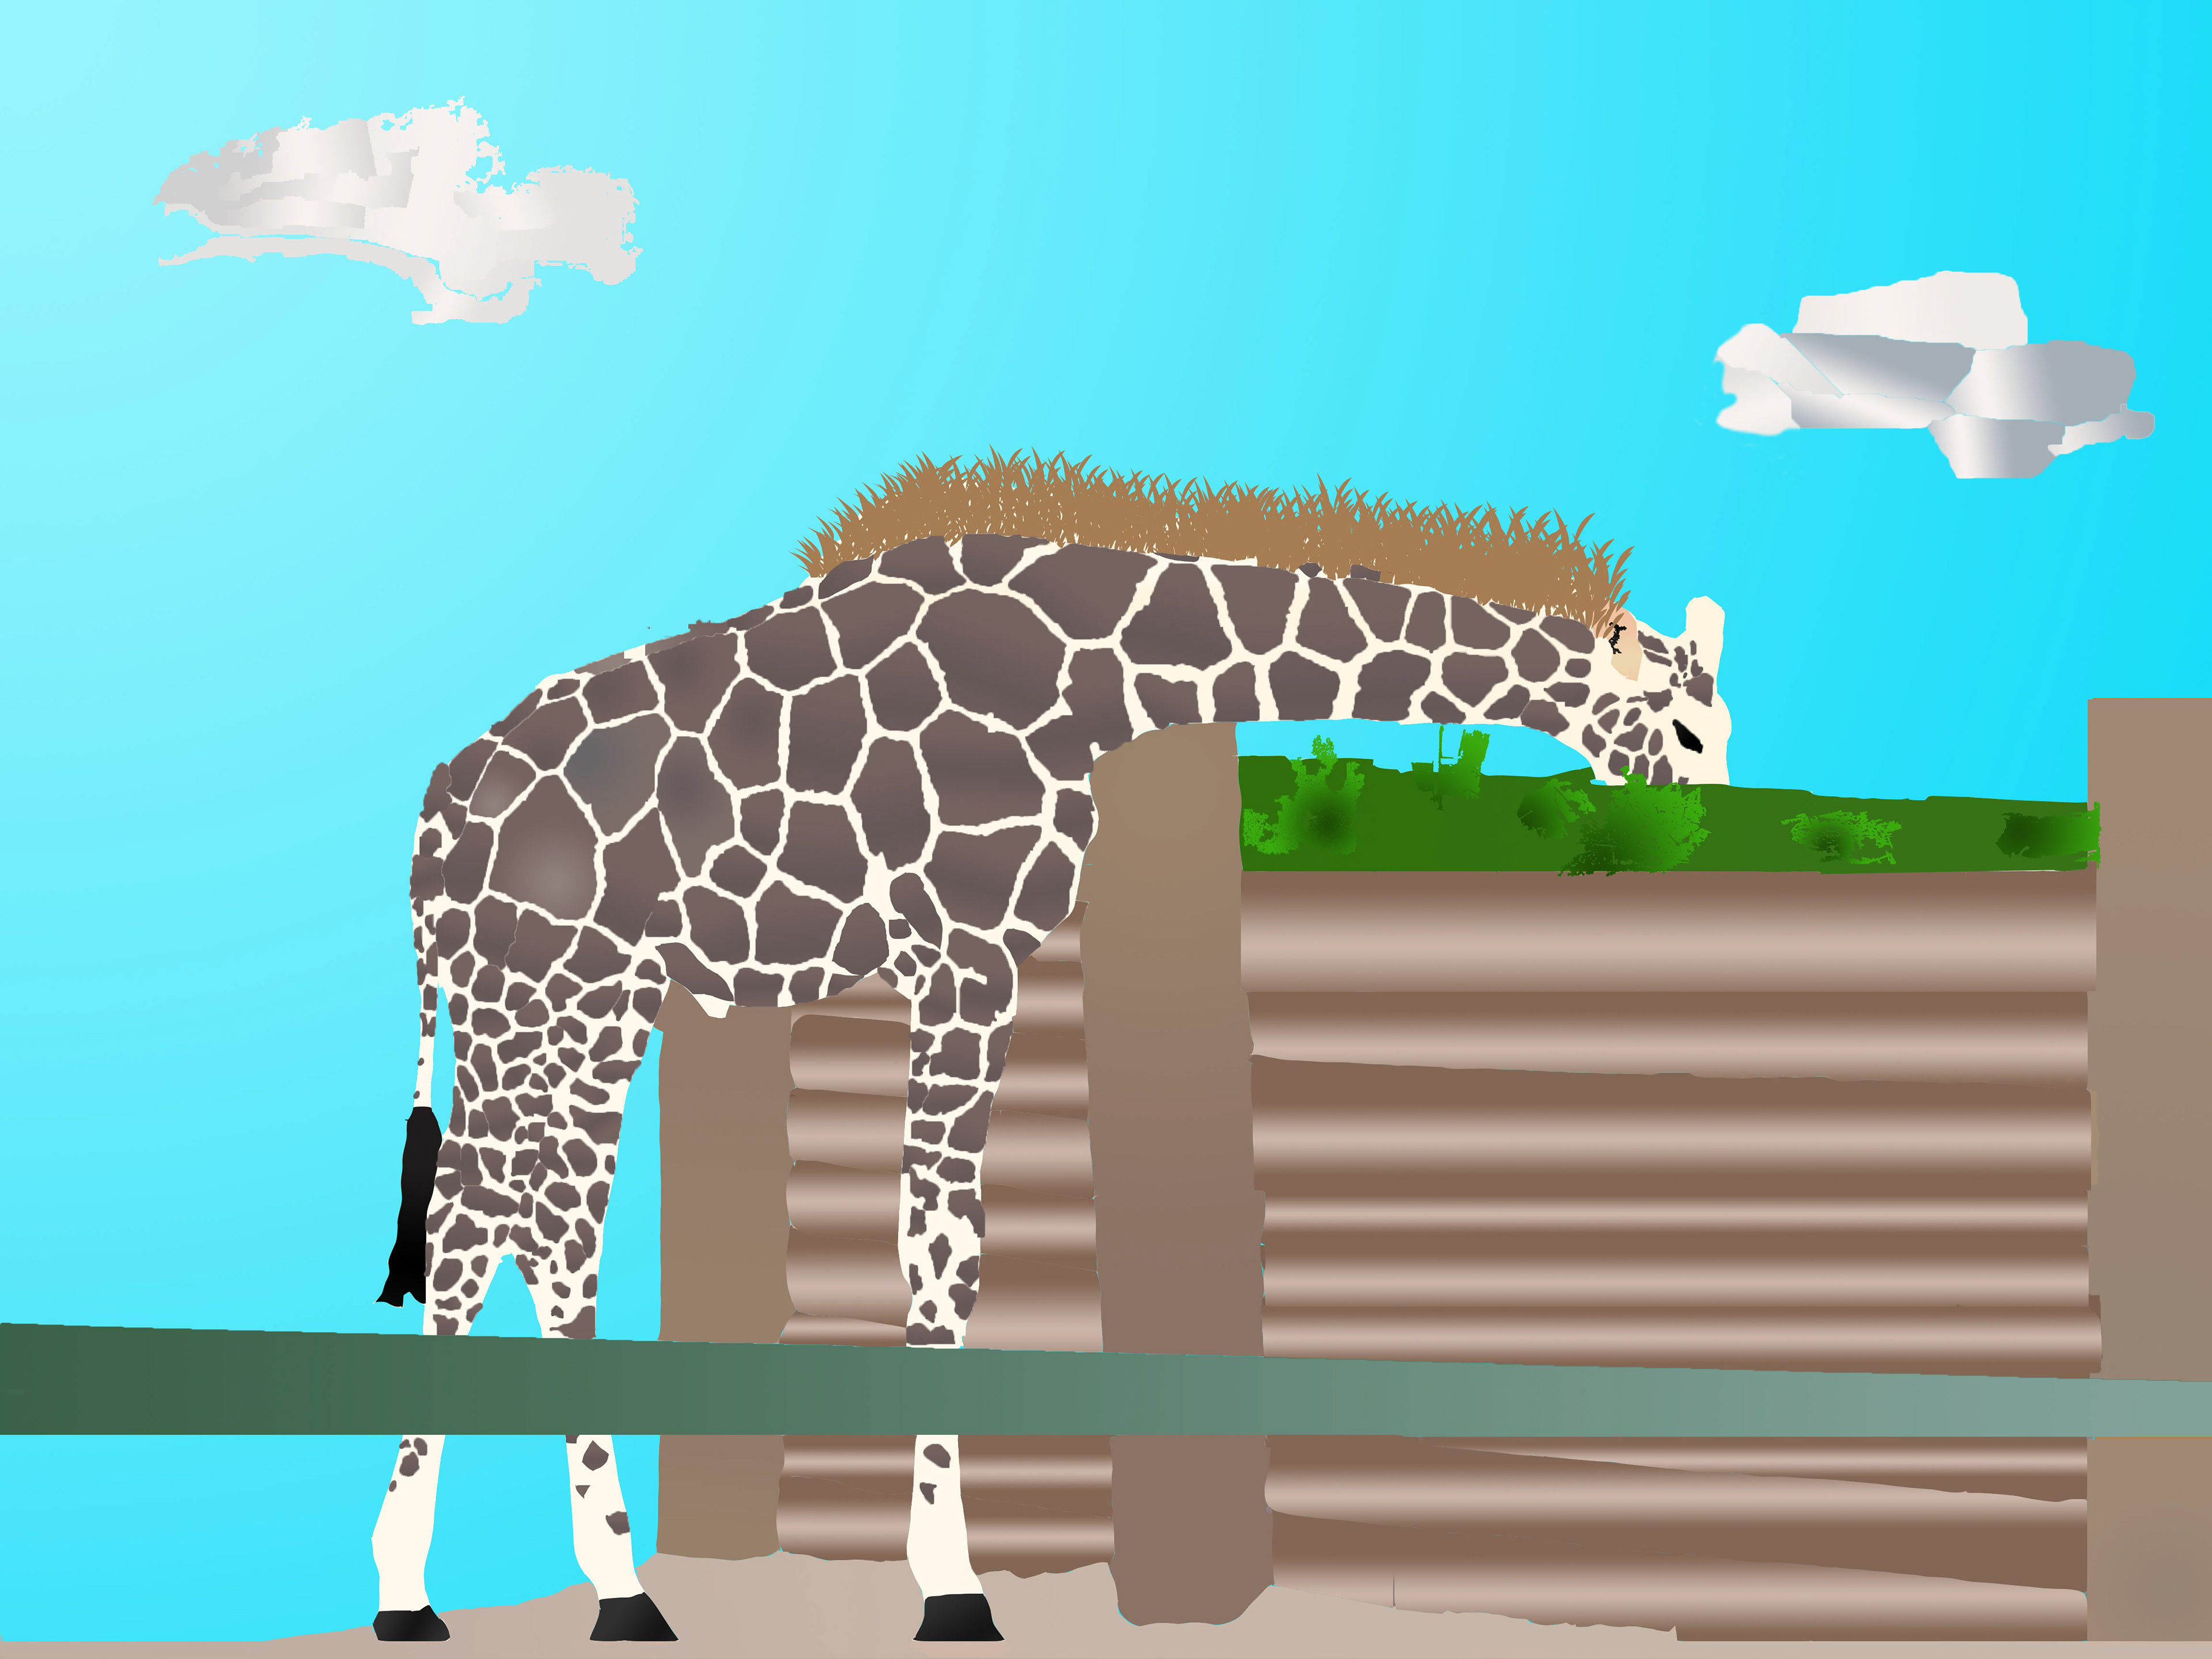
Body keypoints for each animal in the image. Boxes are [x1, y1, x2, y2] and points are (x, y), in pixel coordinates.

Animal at [370, 532, 1729, 1642]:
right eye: (1687, 730)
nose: (1711, 838)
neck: (1092, 676)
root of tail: (440, 812)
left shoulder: (964, 964)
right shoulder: (967, 957)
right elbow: (943, 1253)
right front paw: (953, 1589)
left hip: (555, 1001)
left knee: (492, 1231)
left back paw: (463, 1589)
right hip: (559, 990)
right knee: (529, 1235)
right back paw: (565, 1588)